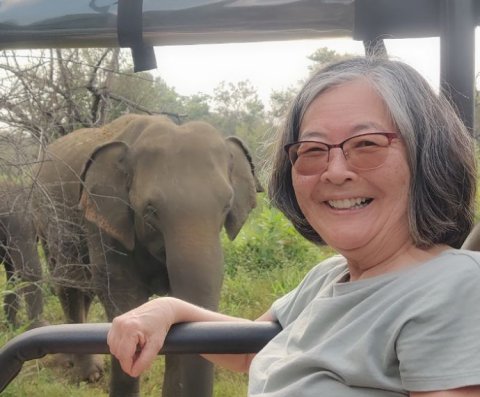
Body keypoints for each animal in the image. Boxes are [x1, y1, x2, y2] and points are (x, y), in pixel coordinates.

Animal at [33, 113, 262, 396]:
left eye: (226, 206)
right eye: (151, 211)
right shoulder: (104, 221)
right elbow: (122, 293)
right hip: (50, 215)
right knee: (67, 281)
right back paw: (85, 373)